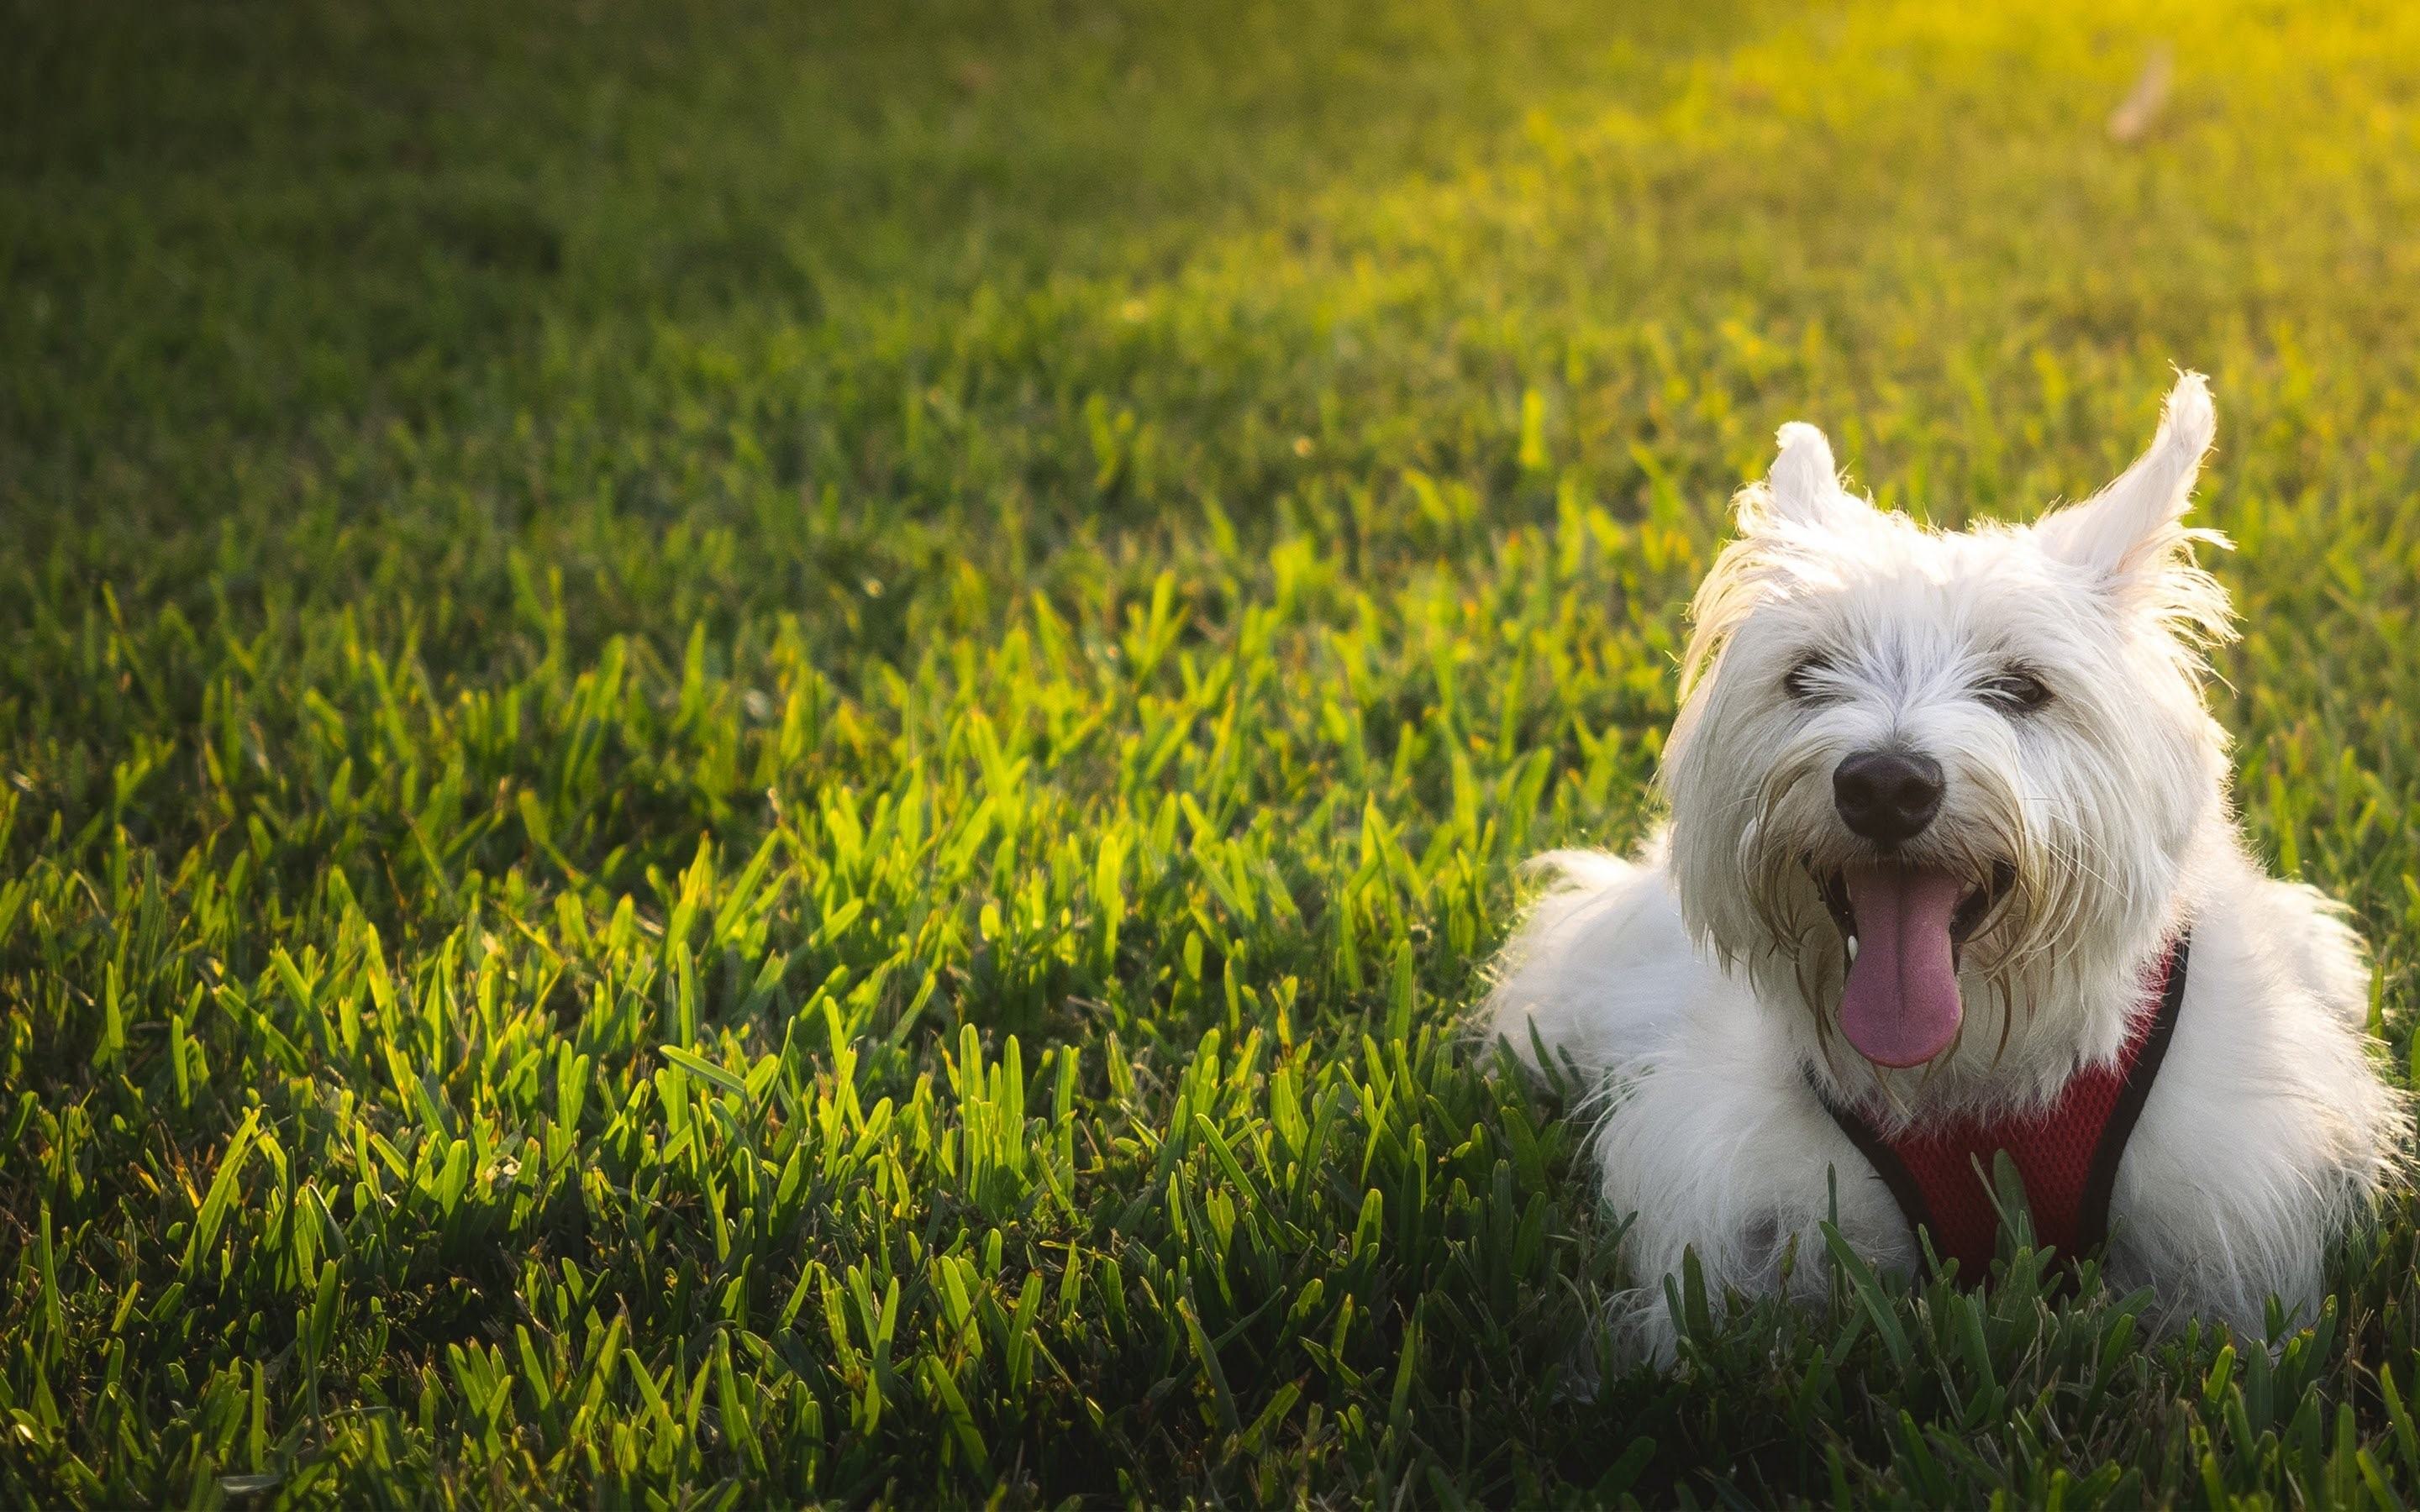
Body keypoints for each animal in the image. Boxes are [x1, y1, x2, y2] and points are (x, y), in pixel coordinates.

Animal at [1491, 375, 2400, 1354]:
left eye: (2022, 688)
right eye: (1808, 673)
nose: (1886, 786)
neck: (1972, 1080)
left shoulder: (2224, 1206)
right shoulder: (1740, 1200)